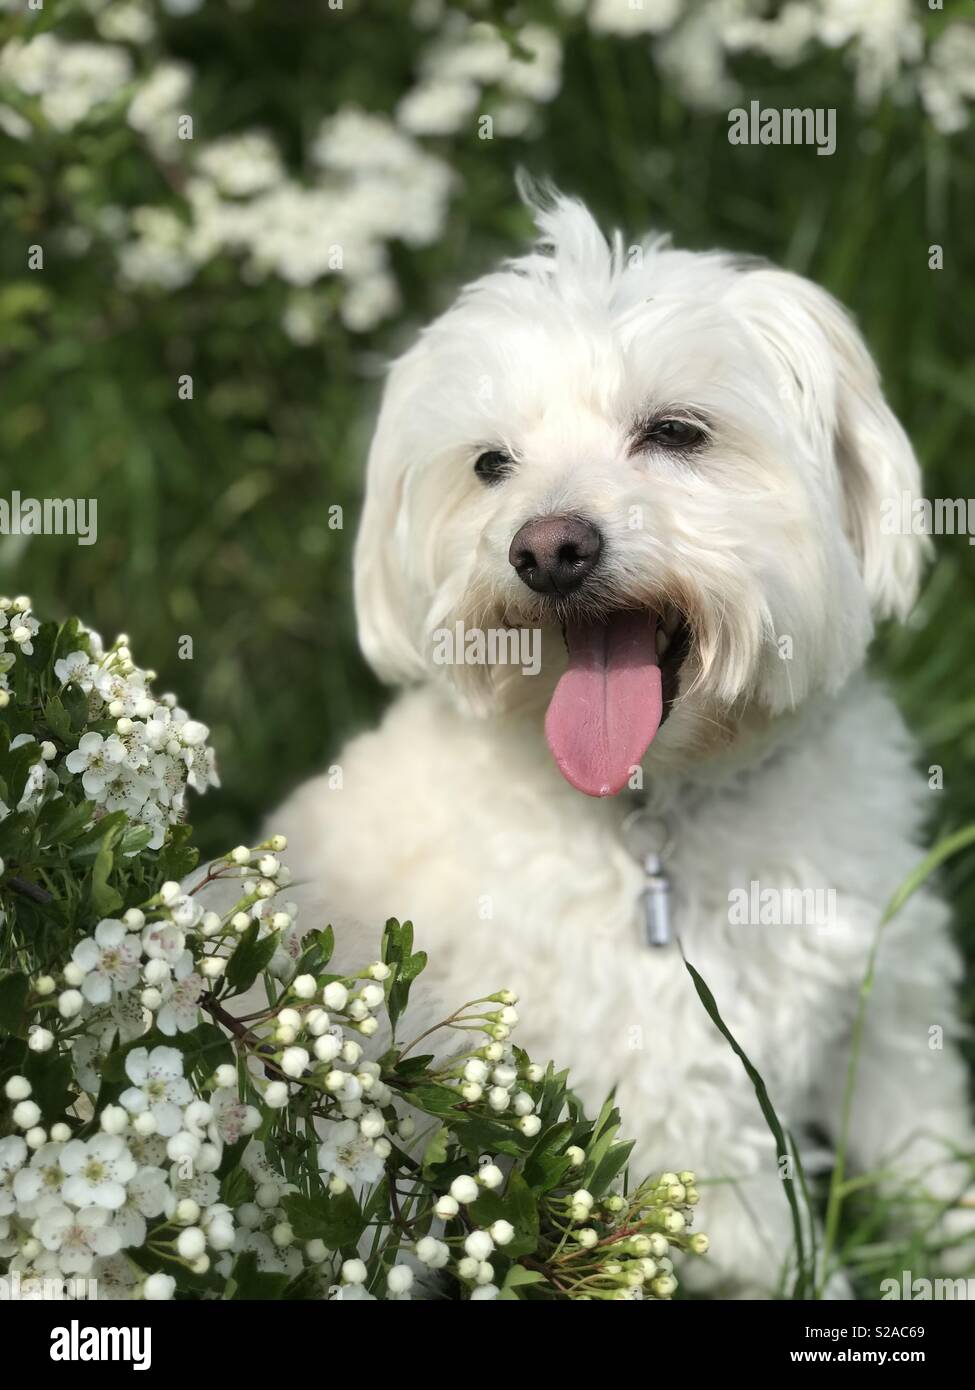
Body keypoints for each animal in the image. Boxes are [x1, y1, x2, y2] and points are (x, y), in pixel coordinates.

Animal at [262, 193, 968, 1289]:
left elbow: (939, 1174)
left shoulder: (892, 1022)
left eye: (675, 431)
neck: (667, 803)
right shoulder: (699, 1122)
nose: (548, 547)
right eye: (490, 465)